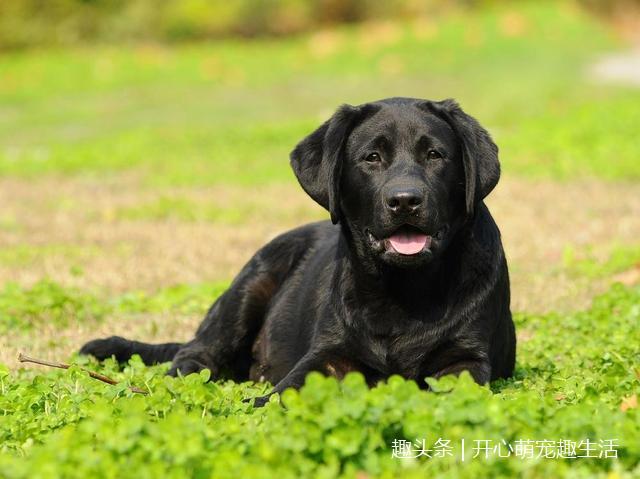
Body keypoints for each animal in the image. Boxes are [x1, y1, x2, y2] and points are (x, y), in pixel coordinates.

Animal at [82, 97, 516, 404]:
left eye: (435, 155)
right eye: (372, 157)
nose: (405, 200)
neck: (405, 290)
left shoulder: (465, 358)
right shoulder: (327, 354)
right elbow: (288, 389)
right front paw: (261, 406)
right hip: (250, 285)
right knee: (195, 352)